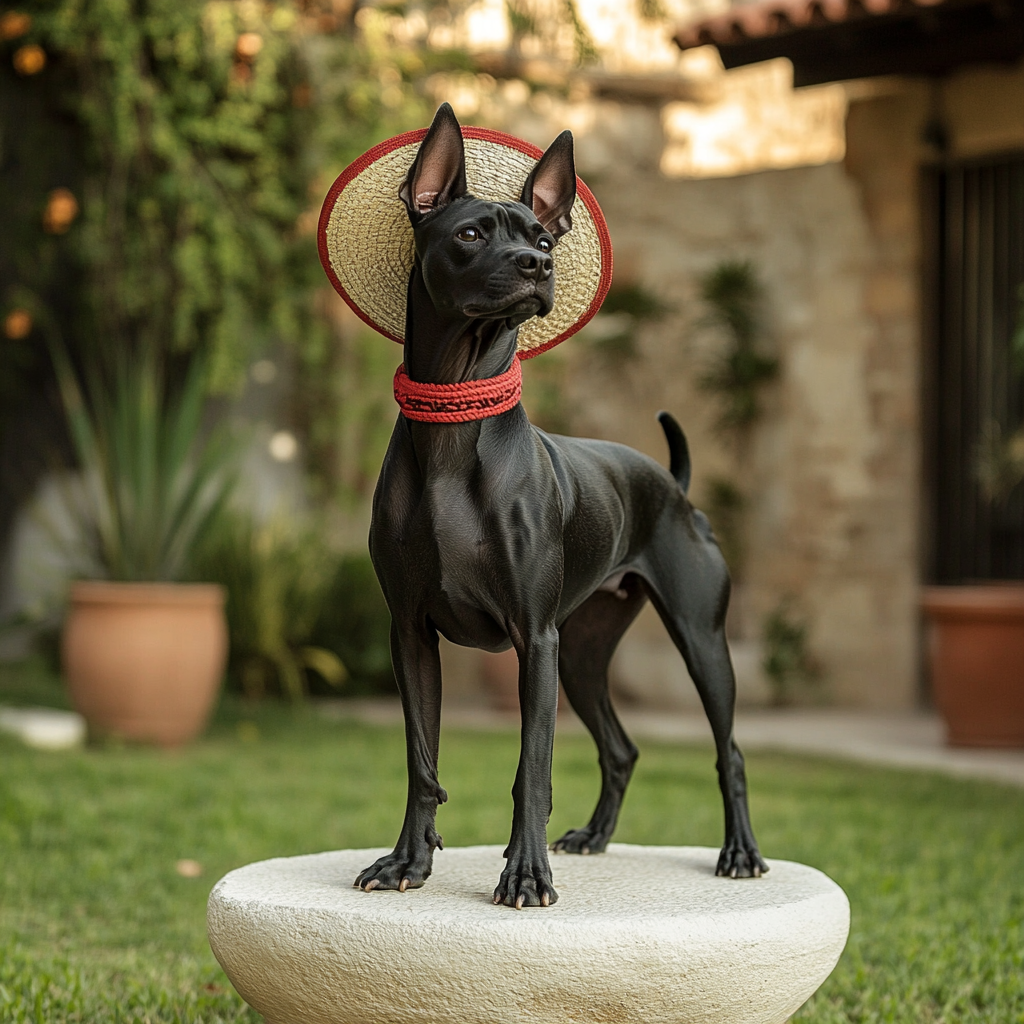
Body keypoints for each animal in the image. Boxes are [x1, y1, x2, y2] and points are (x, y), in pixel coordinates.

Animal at [356, 101, 765, 905]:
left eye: (543, 238)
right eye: (472, 233)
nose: (537, 266)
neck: (454, 428)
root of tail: (672, 483)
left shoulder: (531, 640)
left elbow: (532, 771)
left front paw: (524, 874)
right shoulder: (410, 635)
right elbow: (422, 763)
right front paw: (407, 862)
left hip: (698, 641)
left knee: (728, 751)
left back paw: (739, 852)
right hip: (581, 653)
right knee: (622, 747)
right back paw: (596, 837)